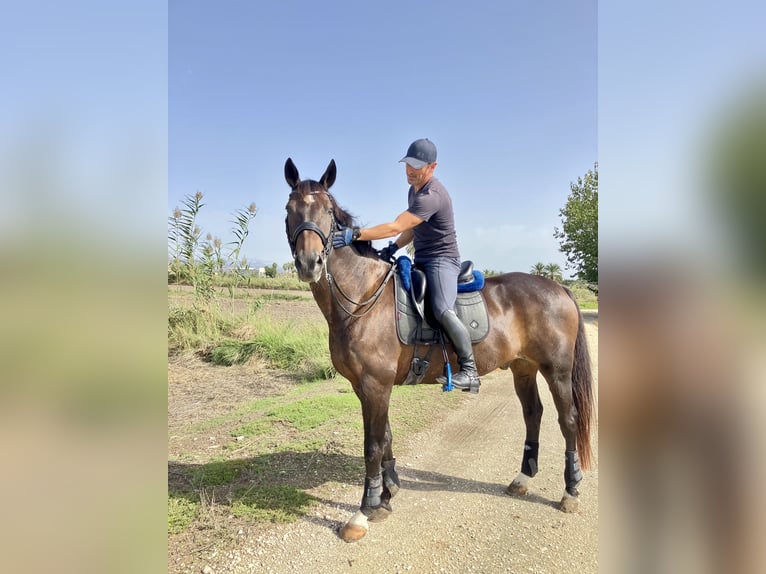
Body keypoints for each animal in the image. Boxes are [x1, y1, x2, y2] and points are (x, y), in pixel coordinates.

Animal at [283, 158, 595, 543]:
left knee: (568, 420)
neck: (363, 296)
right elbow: (385, 437)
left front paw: (364, 511)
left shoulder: (375, 385)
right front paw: (387, 495)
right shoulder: (365, 386)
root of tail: (559, 287)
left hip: (557, 370)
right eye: (289, 210)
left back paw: (571, 491)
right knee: (532, 413)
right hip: (523, 366)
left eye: (328, 212)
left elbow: (372, 445)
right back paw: (523, 478)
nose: (309, 263)